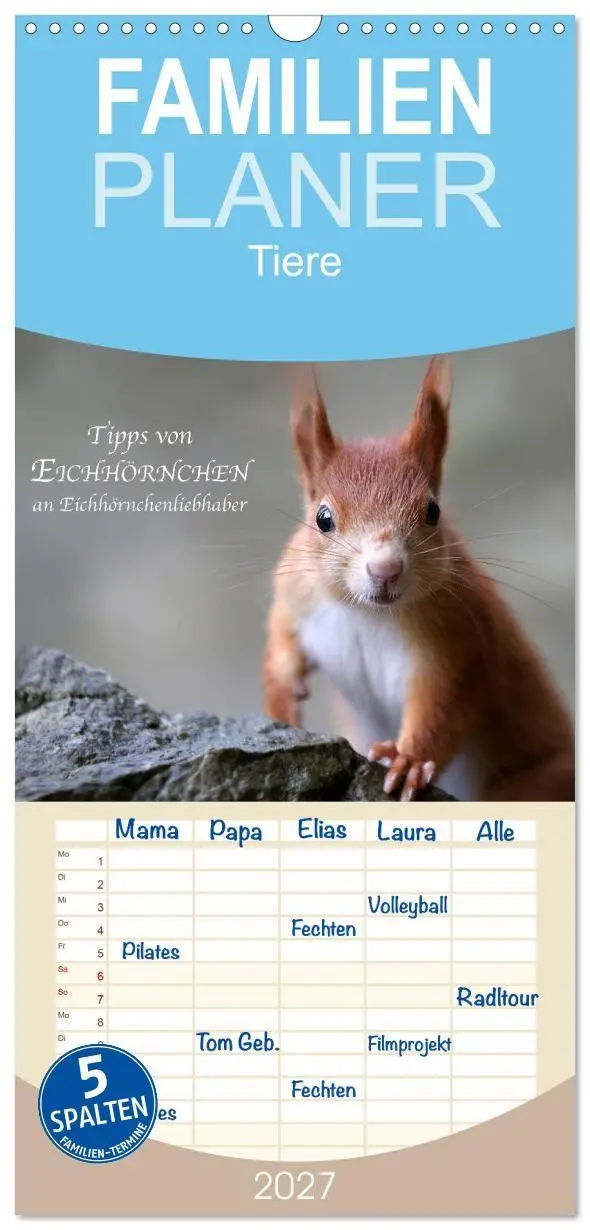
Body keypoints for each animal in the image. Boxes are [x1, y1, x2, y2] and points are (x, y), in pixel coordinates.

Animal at [263, 358, 574, 802]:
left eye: (433, 511)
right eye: (323, 518)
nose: (385, 569)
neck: (366, 614)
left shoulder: (460, 637)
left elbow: (445, 705)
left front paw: (408, 760)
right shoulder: (296, 592)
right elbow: (281, 638)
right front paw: (281, 695)